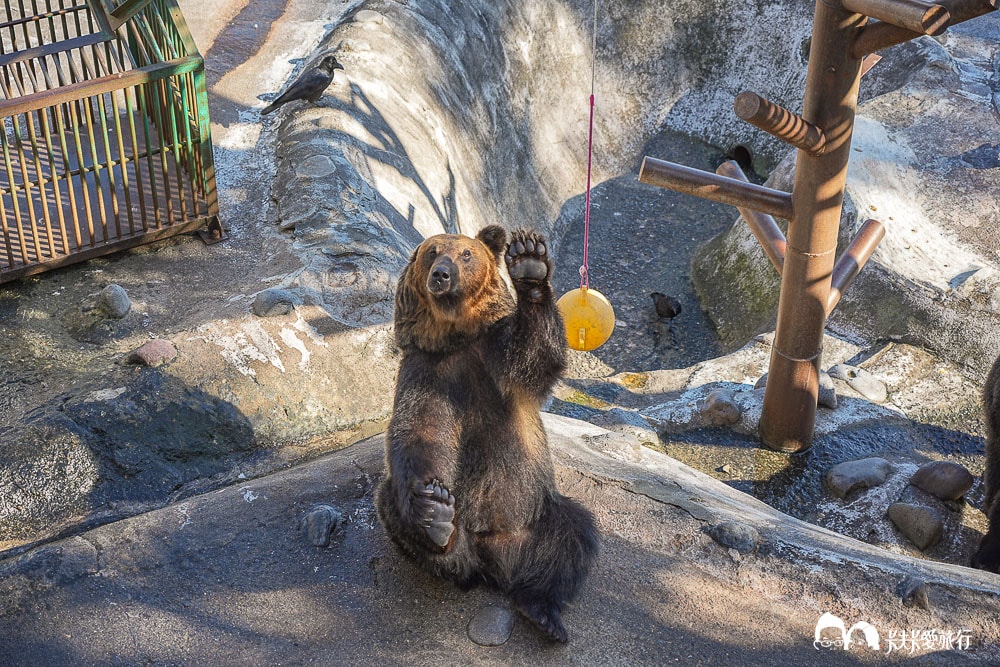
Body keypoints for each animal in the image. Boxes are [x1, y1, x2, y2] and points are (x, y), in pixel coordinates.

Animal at [375, 225, 598, 643]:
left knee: (570, 537)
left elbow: (535, 356)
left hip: (536, 513)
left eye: (465, 254)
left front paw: (528, 262)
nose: (441, 275)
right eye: (432, 252)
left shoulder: (497, 358)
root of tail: (497, 562)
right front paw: (433, 501)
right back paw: (438, 527)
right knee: (393, 503)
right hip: (460, 534)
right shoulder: (427, 371)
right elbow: (419, 432)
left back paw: (542, 611)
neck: (457, 337)